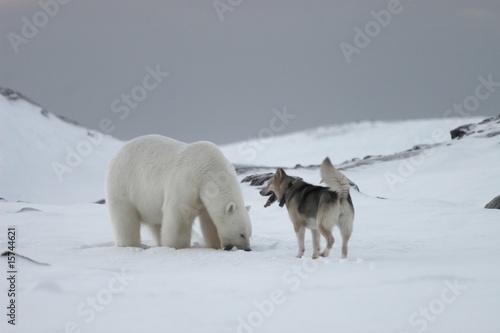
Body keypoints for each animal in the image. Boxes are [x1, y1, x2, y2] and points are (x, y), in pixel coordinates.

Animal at [107, 134, 252, 250]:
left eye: (250, 233)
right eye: (242, 234)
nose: (247, 249)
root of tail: (117, 153)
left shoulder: (204, 196)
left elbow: (209, 220)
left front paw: (214, 244)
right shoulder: (187, 181)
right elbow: (179, 213)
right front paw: (178, 246)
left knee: (156, 223)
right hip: (124, 184)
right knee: (125, 219)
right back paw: (135, 245)